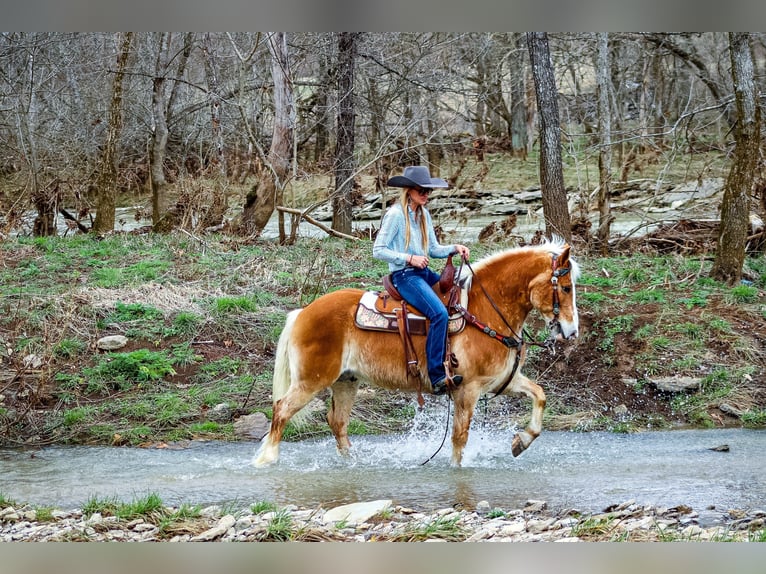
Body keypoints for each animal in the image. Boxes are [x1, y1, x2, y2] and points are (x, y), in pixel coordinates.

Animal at [254, 236, 584, 470]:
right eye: (566, 288)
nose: (571, 331)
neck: (484, 312)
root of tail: (302, 312)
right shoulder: (468, 389)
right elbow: (459, 437)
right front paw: (457, 468)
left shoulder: (503, 380)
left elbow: (539, 395)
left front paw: (522, 442)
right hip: (312, 380)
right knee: (282, 410)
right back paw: (267, 459)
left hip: (345, 381)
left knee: (337, 421)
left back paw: (352, 462)